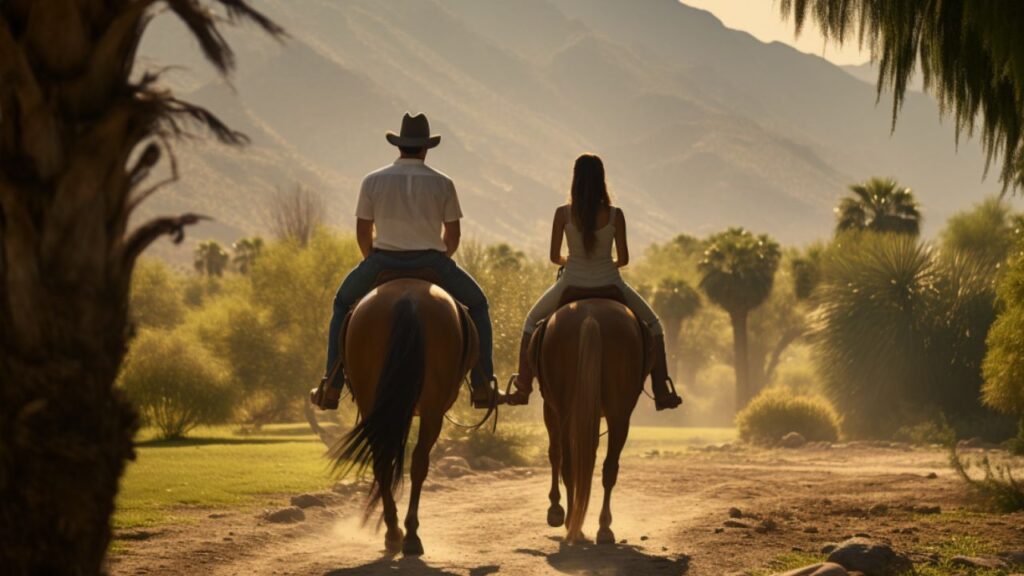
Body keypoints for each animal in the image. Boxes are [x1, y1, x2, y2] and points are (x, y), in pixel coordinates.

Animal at [329, 278, 477, 557]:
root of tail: (408, 299)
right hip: (430, 410)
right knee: (417, 463)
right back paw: (408, 534)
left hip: (376, 404)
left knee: (385, 463)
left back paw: (396, 532)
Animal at [536, 295, 647, 541]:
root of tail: (591, 317)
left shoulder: (550, 408)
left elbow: (555, 454)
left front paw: (555, 509)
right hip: (619, 415)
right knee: (608, 468)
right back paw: (602, 528)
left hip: (566, 412)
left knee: (568, 464)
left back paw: (572, 523)